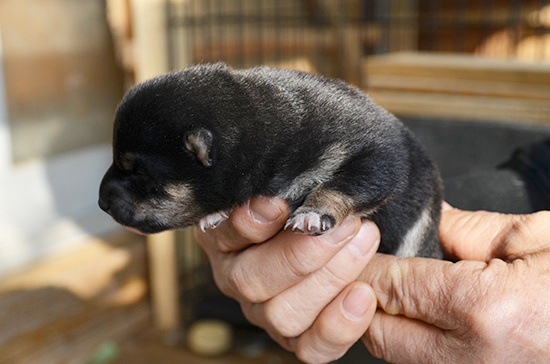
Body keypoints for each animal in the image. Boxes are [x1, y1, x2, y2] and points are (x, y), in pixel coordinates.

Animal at [98, 64, 444, 258]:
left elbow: (344, 184)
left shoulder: (378, 155)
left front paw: (313, 213)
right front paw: (215, 214)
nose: (101, 202)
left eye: (137, 171)